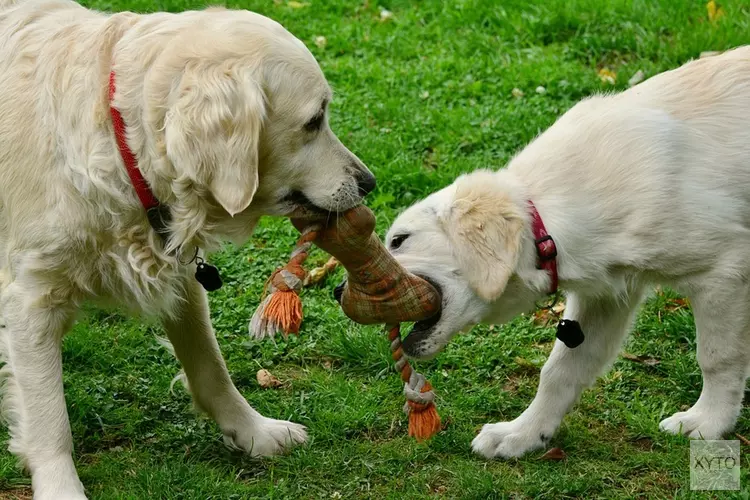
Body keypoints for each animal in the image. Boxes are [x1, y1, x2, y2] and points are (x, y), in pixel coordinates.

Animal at [0, 0, 376, 496]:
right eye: (314, 121)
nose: (369, 183)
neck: (120, 143)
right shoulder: (32, 298)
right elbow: (49, 419)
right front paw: (61, 487)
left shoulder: (181, 278)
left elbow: (211, 367)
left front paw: (255, 432)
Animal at [384, 47, 750, 460]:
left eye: (399, 240)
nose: (344, 291)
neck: (548, 219)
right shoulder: (607, 295)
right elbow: (560, 370)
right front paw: (523, 434)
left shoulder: (723, 269)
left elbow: (718, 357)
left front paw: (709, 424)